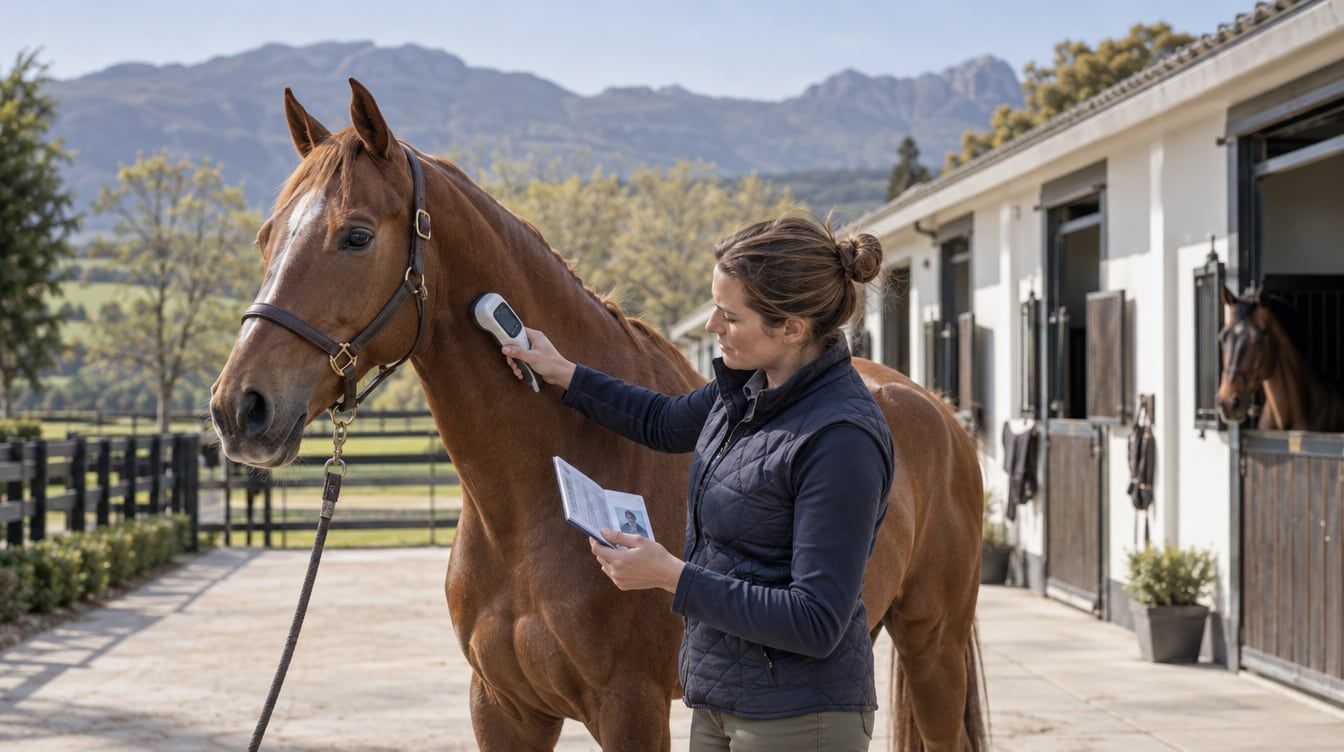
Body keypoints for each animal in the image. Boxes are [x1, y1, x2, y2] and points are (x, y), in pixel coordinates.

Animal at [209, 79, 988, 752]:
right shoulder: (503, 708)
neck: (528, 509)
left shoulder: (630, 708)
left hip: (934, 643)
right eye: (266, 236)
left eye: (357, 236)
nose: (238, 407)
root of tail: (937, 411)